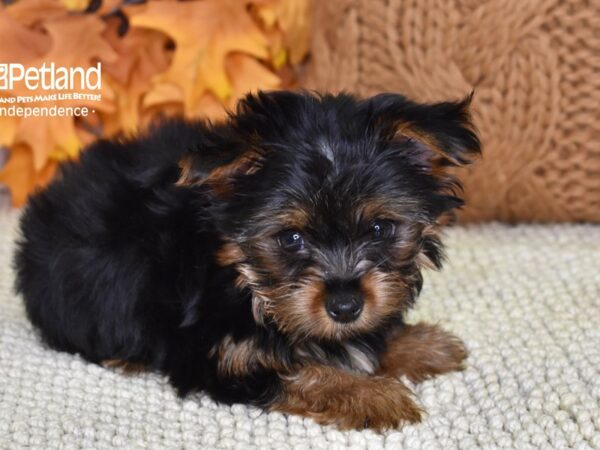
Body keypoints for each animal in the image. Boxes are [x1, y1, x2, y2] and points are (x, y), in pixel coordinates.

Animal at [16, 89, 480, 430]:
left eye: (380, 229)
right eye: (291, 238)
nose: (346, 306)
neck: (243, 280)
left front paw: (420, 343)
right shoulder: (220, 357)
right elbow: (301, 371)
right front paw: (374, 394)